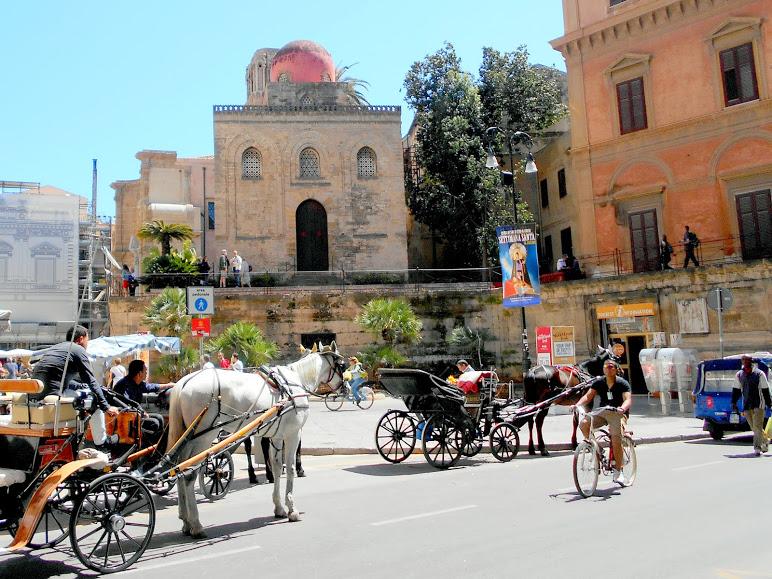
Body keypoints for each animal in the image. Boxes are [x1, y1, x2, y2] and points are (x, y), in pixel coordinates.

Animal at [164, 346, 345, 538]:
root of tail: (185, 381)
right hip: (203, 437)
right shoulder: (293, 434)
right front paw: (292, 509)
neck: (294, 382)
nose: (346, 388)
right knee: (188, 474)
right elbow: (289, 469)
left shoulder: (277, 436)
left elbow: (276, 466)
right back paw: (196, 525)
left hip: (188, 438)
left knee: (178, 469)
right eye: (342, 366)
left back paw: (185, 520)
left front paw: (279, 507)